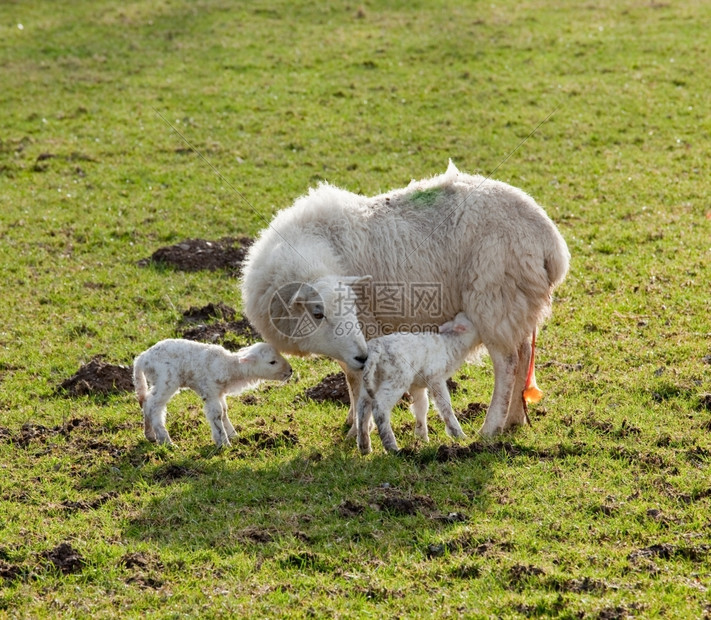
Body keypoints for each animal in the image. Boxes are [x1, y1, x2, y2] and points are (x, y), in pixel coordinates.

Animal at [132, 340, 290, 446]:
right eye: (272, 362)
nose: (291, 371)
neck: (228, 365)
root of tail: (141, 359)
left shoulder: (219, 393)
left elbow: (224, 411)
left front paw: (233, 435)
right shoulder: (210, 391)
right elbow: (216, 414)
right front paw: (224, 443)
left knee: (146, 402)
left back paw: (150, 435)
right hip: (166, 379)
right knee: (154, 406)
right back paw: (167, 442)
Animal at [242, 162, 572, 438]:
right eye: (317, 313)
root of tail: (550, 241)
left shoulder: (366, 331)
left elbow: (358, 380)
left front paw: (358, 430)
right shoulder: (352, 343)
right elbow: (350, 376)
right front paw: (352, 420)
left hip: (494, 299)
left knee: (508, 363)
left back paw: (490, 427)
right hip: (518, 302)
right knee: (525, 354)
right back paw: (515, 419)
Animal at [356, 312, 478, 452]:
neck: (452, 344)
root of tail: (375, 350)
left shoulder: (417, 385)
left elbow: (421, 406)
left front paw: (422, 437)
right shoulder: (435, 378)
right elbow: (444, 405)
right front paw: (458, 434)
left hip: (371, 380)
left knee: (363, 407)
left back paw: (364, 446)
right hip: (396, 379)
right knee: (379, 407)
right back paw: (391, 447)